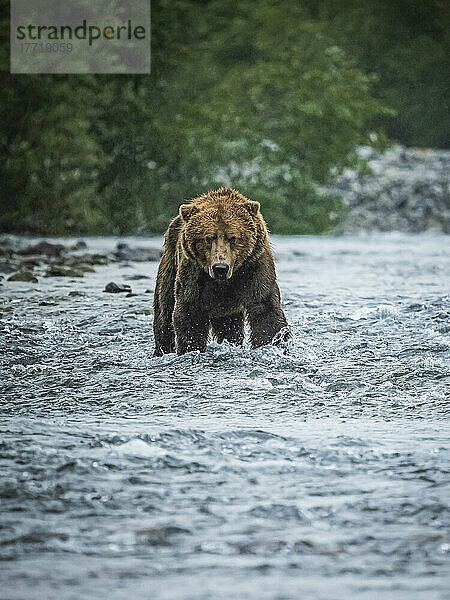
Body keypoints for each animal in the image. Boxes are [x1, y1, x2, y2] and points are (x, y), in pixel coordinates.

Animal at [154, 189, 288, 356]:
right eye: (208, 238)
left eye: (233, 238)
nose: (220, 268)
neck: (224, 281)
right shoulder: (194, 274)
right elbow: (189, 313)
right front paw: (191, 348)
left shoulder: (254, 267)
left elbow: (265, 309)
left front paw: (273, 344)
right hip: (170, 264)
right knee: (164, 310)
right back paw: (162, 349)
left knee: (230, 327)